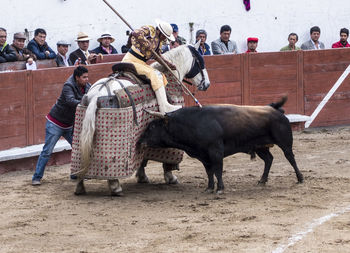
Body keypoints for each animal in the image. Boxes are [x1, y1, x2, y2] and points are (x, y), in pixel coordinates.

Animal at [75, 42, 209, 196]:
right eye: (200, 62)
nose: (207, 84)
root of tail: (96, 95)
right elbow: (167, 161)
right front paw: (171, 177)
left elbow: (143, 159)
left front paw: (142, 176)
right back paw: (115, 187)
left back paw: (80, 185)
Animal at [139, 97, 304, 194]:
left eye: (152, 127)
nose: (139, 142)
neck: (193, 123)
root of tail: (275, 109)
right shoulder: (203, 155)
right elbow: (209, 172)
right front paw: (209, 188)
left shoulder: (215, 151)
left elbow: (218, 169)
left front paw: (219, 189)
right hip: (260, 146)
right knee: (269, 159)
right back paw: (262, 180)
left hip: (284, 142)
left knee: (290, 157)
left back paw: (300, 178)